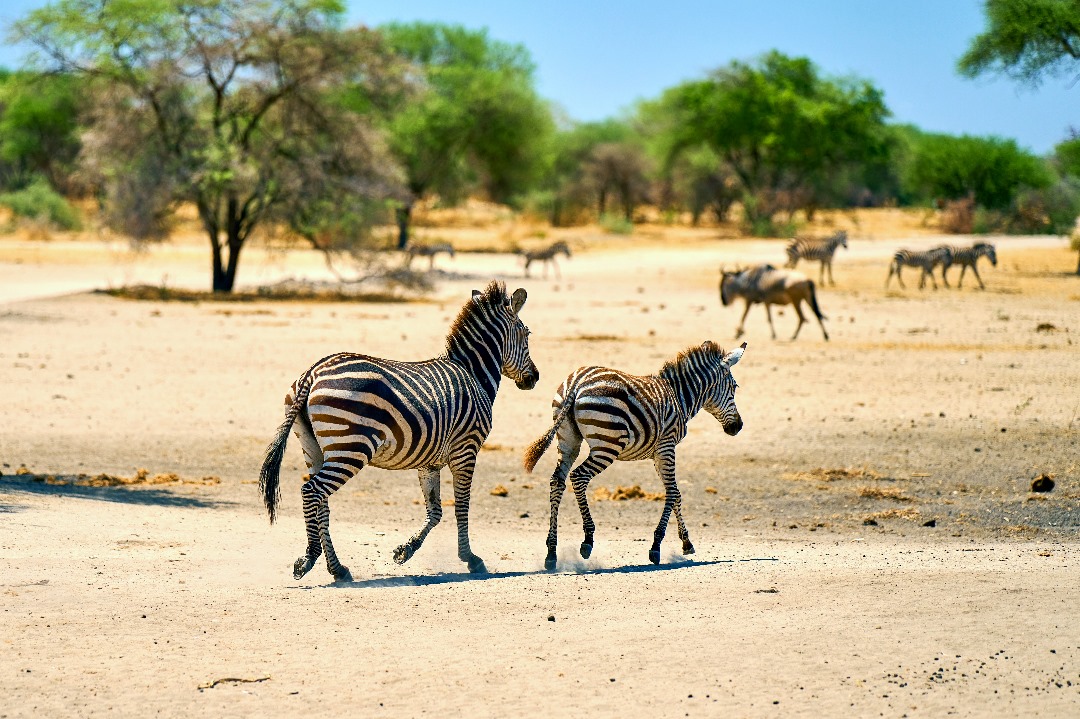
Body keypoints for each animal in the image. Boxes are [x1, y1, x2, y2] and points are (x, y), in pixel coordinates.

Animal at [261, 280, 540, 582]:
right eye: (527, 334)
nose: (535, 378)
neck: (473, 374)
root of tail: (313, 372)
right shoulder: (466, 449)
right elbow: (461, 506)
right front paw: (471, 559)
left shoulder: (430, 461)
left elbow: (435, 510)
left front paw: (405, 551)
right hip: (350, 448)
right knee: (312, 492)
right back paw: (309, 558)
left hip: (313, 447)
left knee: (321, 501)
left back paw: (338, 569)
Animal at [520, 338, 743, 570]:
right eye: (734, 387)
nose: (738, 427)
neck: (679, 396)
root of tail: (576, 383)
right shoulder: (667, 446)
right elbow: (673, 493)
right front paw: (656, 546)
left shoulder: (657, 453)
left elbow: (676, 493)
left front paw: (687, 542)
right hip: (607, 445)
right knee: (579, 477)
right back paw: (587, 540)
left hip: (568, 440)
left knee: (557, 482)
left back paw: (551, 552)